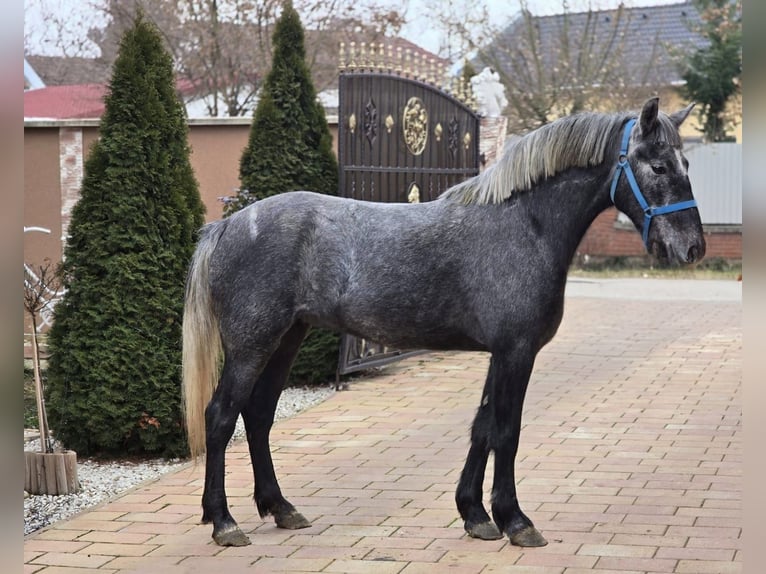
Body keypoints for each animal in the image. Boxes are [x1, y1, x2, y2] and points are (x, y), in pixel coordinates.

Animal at [182, 98, 708, 548]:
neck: (525, 223)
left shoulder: (502, 353)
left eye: (687, 165)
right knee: (221, 416)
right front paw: (516, 521)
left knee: (258, 416)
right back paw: (224, 521)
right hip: (252, 345)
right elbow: (507, 430)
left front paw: (476, 515)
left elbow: (483, 427)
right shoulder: (516, 352)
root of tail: (227, 225)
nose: (692, 249)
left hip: (287, 339)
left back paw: (281, 508)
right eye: (658, 166)